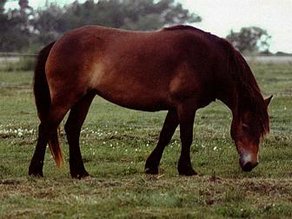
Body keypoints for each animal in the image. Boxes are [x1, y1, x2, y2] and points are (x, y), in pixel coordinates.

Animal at [28, 24, 272, 179]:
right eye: (245, 125)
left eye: (260, 130)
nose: (250, 164)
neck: (207, 59)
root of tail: (57, 42)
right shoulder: (186, 105)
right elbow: (186, 137)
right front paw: (187, 169)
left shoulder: (175, 108)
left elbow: (165, 136)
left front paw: (151, 167)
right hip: (66, 97)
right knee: (47, 127)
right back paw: (36, 171)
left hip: (85, 97)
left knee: (72, 129)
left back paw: (80, 172)